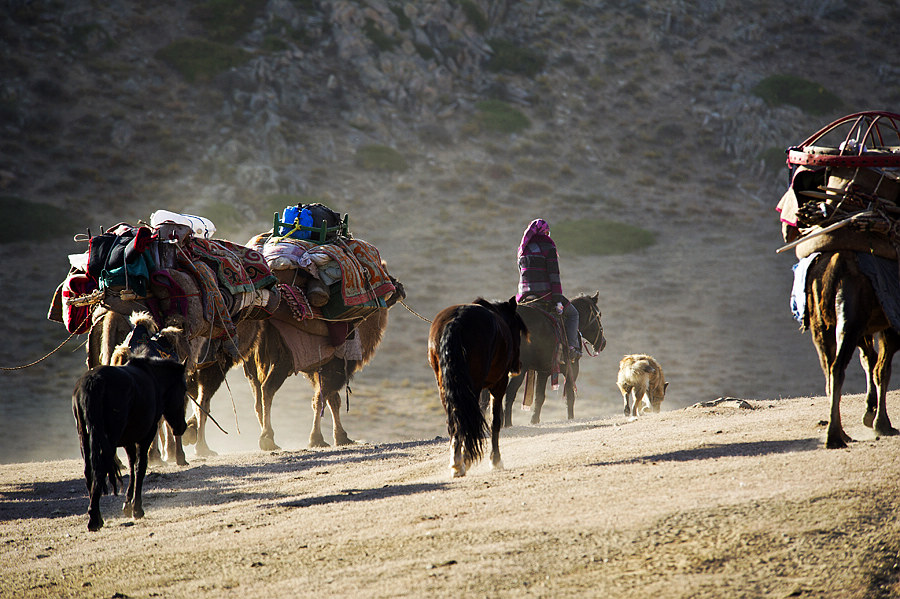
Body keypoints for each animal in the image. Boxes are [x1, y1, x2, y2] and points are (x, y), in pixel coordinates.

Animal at [71, 354, 188, 532]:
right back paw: (94, 520)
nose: (182, 426)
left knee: (89, 472)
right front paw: (137, 509)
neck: (153, 378)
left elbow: (132, 466)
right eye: (184, 390)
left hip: (84, 438)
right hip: (108, 441)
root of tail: (92, 382)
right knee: (100, 470)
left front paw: (127, 504)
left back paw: (96, 516)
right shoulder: (146, 437)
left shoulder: (129, 441)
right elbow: (140, 467)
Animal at [428, 298, 528, 478]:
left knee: (454, 419)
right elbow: (495, 421)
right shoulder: (498, 384)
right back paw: (464, 461)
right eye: (516, 329)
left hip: (445, 388)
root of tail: (455, 322)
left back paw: (456, 462)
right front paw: (495, 460)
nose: (518, 366)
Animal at [500, 294, 604, 426]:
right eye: (599, 315)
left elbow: (539, 397)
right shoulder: (572, 368)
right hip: (520, 370)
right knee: (509, 393)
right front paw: (570, 418)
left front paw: (534, 420)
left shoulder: (543, 372)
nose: (603, 342)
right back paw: (508, 424)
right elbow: (570, 395)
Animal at [800, 251, 900, 448]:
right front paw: (881, 424)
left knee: (829, 371)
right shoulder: (890, 319)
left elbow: (869, 360)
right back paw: (834, 438)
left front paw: (870, 413)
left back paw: (841, 433)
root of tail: (836, 264)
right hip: (851, 316)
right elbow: (881, 369)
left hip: (821, 325)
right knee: (838, 368)